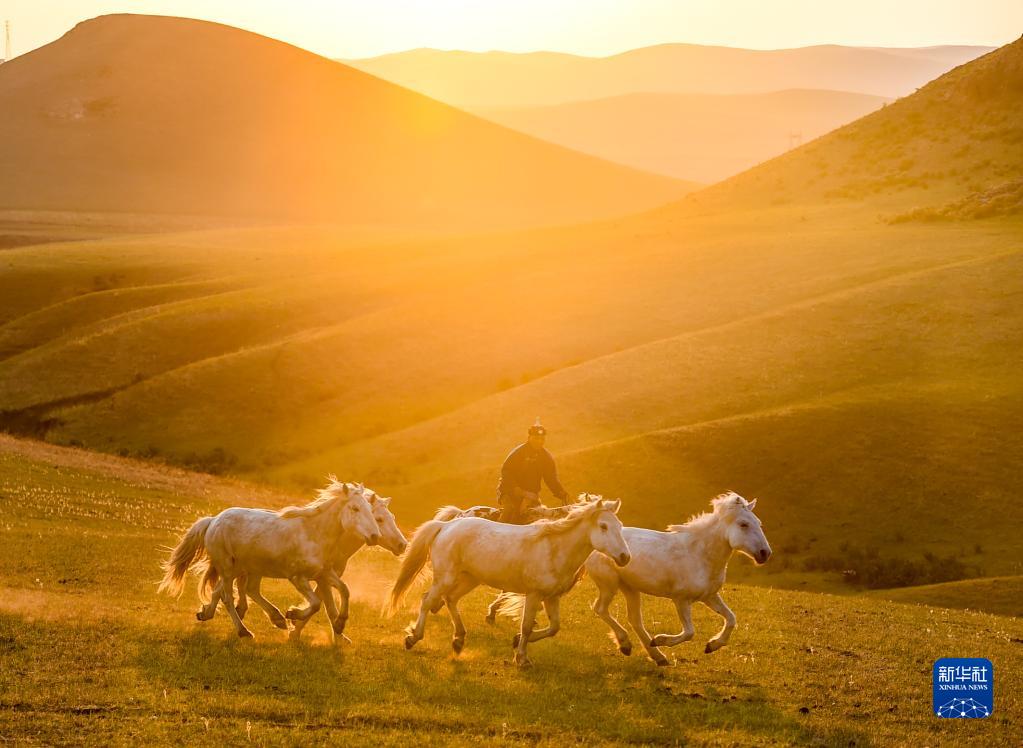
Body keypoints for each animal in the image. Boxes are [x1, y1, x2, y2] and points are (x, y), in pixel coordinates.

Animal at [157, 478, 382, 638]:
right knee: (228, 597)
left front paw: (340, 623)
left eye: (370, 510)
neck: (314, 534)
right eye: (355, 508)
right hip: (229, 568)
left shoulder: (323, 573)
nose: (374, 536)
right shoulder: (298, 577)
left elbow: (344, 590)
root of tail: (213, 520)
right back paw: (245, 631)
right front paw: (293, 614)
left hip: (245, 568)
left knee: (233, 590)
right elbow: (317, 603)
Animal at [390, 497, 630, 667]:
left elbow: (553, 627)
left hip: (470, 579)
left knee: (450, 600)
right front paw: (522, 658)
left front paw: (516, 641)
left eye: (619, 525)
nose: (624, 557)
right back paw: (413, 638)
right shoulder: (534, 595)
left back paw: (458, 640)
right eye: (603, 526)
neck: (555, 548)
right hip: (445, 577)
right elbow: (526, 625)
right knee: (427, 601)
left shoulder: (552, 597)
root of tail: (445, 526)